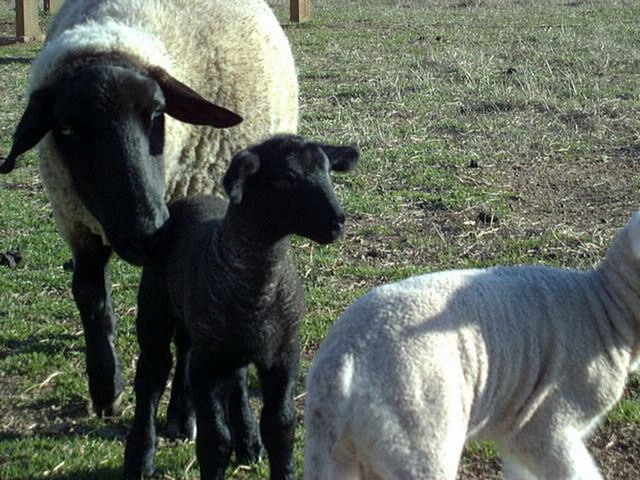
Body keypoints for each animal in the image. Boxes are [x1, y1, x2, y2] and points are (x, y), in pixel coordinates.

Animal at [0, 0, 298, 419]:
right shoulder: (77, 221)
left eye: (158, 113)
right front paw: (107, 387)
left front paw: (183, 414)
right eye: (67, 129)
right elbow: (90, 296)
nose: (147, 232)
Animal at [123, 135, 360, 480]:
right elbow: (214, 438)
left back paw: (248, 443)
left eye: (328, 171)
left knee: (235, 381)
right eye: (285, 179)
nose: (337, 222)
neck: (259, 290)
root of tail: (190, 199)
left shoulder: (283, 353)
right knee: (151, 376)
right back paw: (141, 459)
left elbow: (280, 426)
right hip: (155, 311)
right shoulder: (207, 364)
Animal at [303, 212, 640, 480]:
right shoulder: (546, 426)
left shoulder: (516, 435)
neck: (605, 307)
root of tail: (345, 359)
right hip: (415, 434)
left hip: (330, 446)